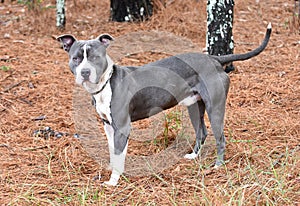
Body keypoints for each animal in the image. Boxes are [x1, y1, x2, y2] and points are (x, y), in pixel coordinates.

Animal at [56, 23, 272, 186]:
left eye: (95, 58)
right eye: (76, 58)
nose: (85, 72)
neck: (105, 83)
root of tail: (214, 58)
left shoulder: (122, 127)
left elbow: (118, 152)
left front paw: (114, 180)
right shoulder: (108, 126)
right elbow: (113, 151)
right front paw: (112, 169)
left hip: (215, 107)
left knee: (220, 137)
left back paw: (218, 166)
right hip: (195, 106)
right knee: (201, 132)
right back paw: (193, 157)